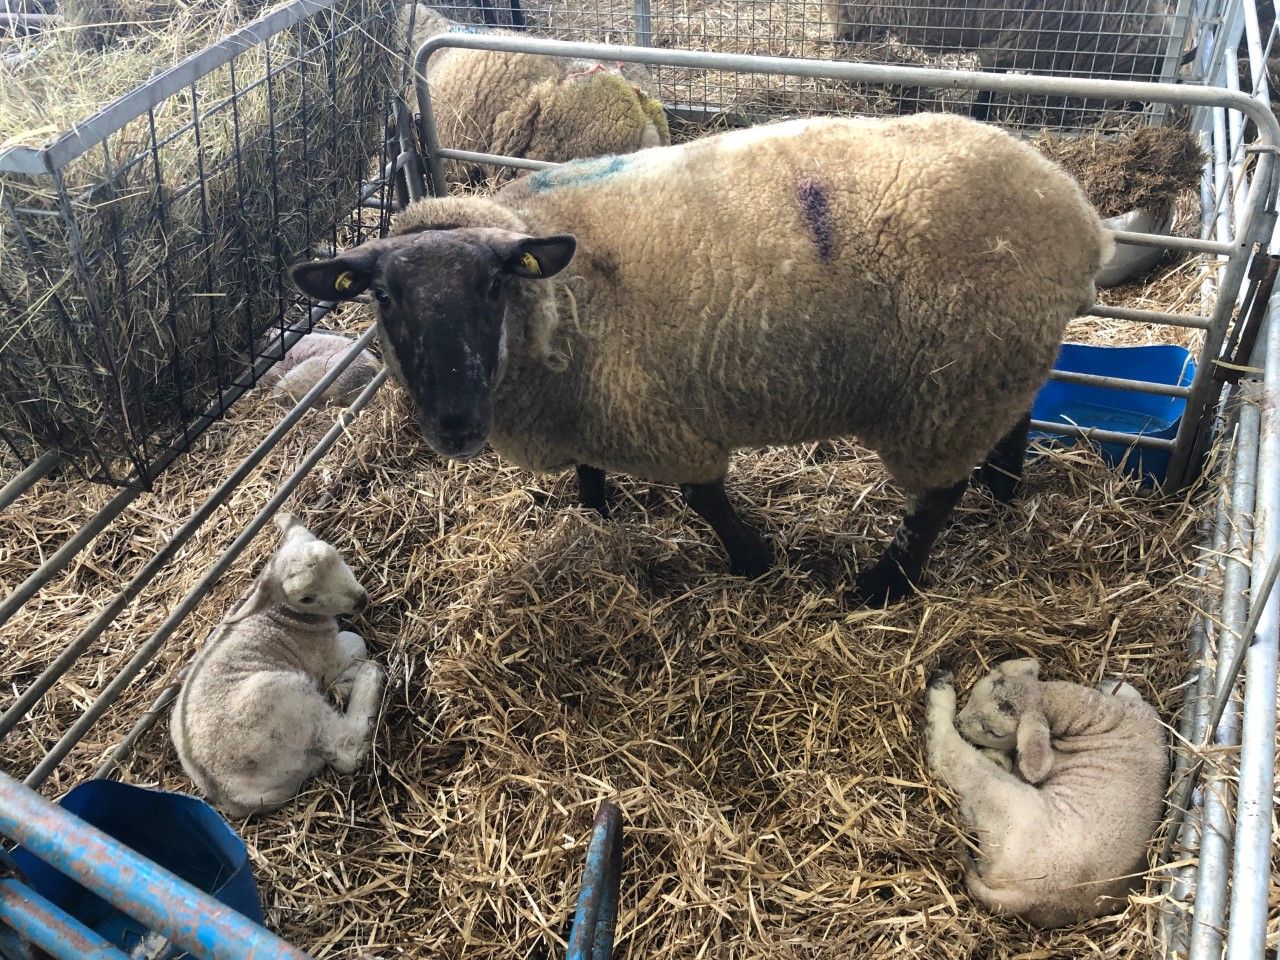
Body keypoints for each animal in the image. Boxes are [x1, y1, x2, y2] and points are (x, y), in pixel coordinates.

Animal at [170, 511, 383, 818]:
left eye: (335, 554)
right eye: (306, 598)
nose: (360, 600)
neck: (281, 615)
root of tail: (232, 795)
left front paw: (342, 682)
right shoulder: (325, 657)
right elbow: (356, 642)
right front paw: (350, 673)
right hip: (285, 698)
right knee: (345, 748)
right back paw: (368, 676)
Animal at [289, 112, 1111, 605]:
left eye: (493, 285)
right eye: (383, 297)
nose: (455, 426)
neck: (565, 302)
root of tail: (1079, 215)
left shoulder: (658, 415)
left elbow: (704, 497)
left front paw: (753, 559)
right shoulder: (591, 402)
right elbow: (593, 473)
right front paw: (597, 516)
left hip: (948, 390)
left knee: (936, 497)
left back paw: (885, 583)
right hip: (994, 368)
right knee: (1019, 415)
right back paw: (1004, 490)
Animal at [924, 659, 1169, 927]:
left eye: (994, 732)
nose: (960, 723)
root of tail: (1027, 897)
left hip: (1001, 797)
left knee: (947, 752)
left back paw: (941, 688)